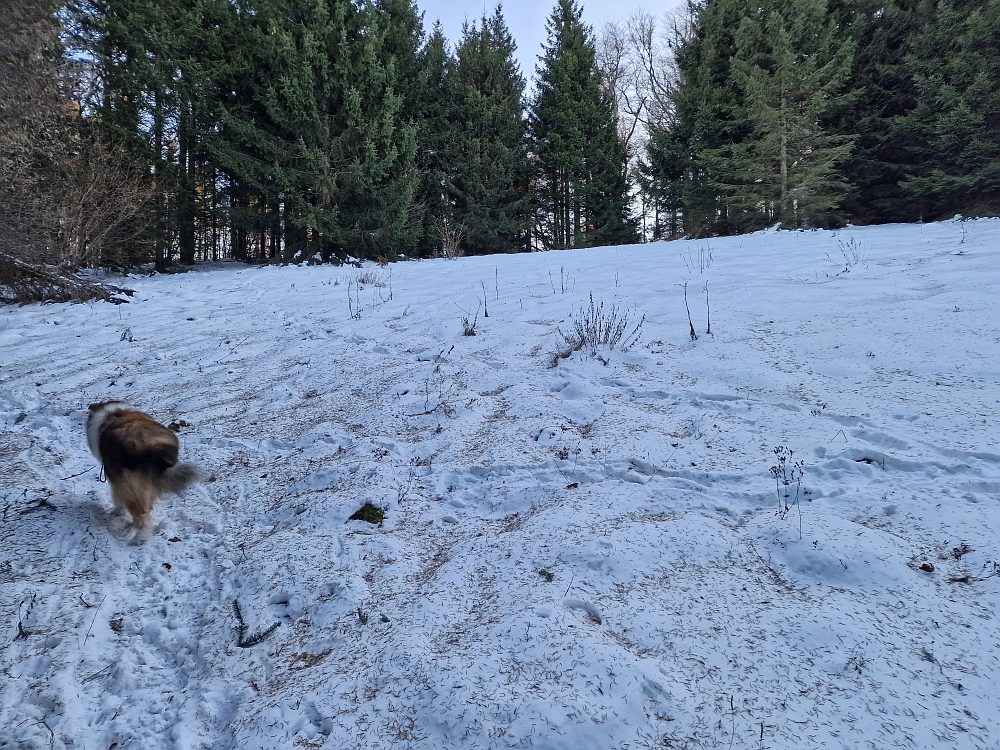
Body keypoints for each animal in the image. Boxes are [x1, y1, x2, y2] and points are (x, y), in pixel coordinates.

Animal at [87, 402, 202, 532]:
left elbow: (117, 498)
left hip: (129, 483)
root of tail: (149, 447)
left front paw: (117, 511)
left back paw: (137, 533)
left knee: (139, 513)